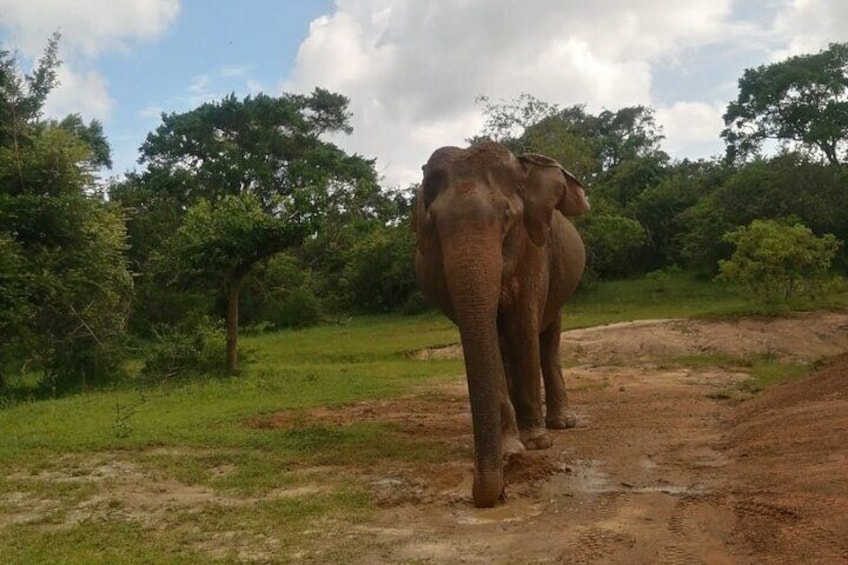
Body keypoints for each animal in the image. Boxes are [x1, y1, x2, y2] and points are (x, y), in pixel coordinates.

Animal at [413, 141, 589, 507]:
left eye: (507, 217)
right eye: (433, 224)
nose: (494, 493)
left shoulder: (534, 252)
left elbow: (523, 326)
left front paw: (537, 442)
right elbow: (491, 339)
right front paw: (512, 446)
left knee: (548, 340)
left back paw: (561, 424)